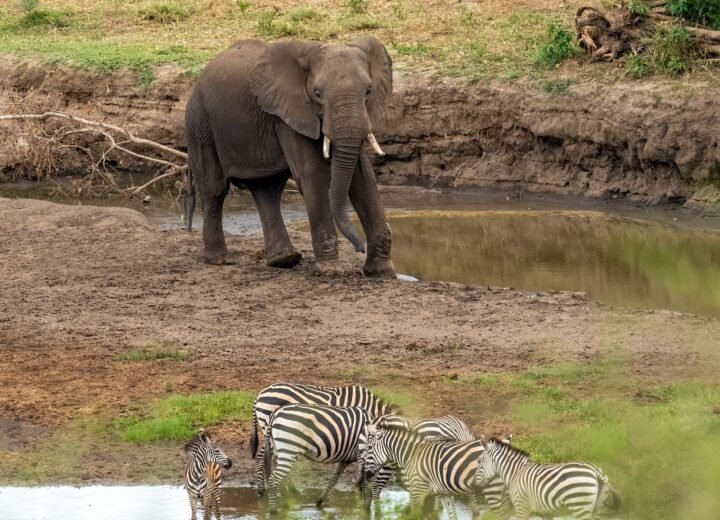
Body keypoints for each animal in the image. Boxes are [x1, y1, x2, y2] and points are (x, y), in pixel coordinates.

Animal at [184, 37, 396, 277]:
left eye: (368, 91)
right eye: (317, 94)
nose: (360, 247)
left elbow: (363, 177)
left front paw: (381, 272)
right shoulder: (287, 115)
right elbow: (311, 174)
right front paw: (329, 271)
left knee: (266, 188)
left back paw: (284, 259)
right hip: (199, 122)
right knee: (214, 188)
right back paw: (220, 260)